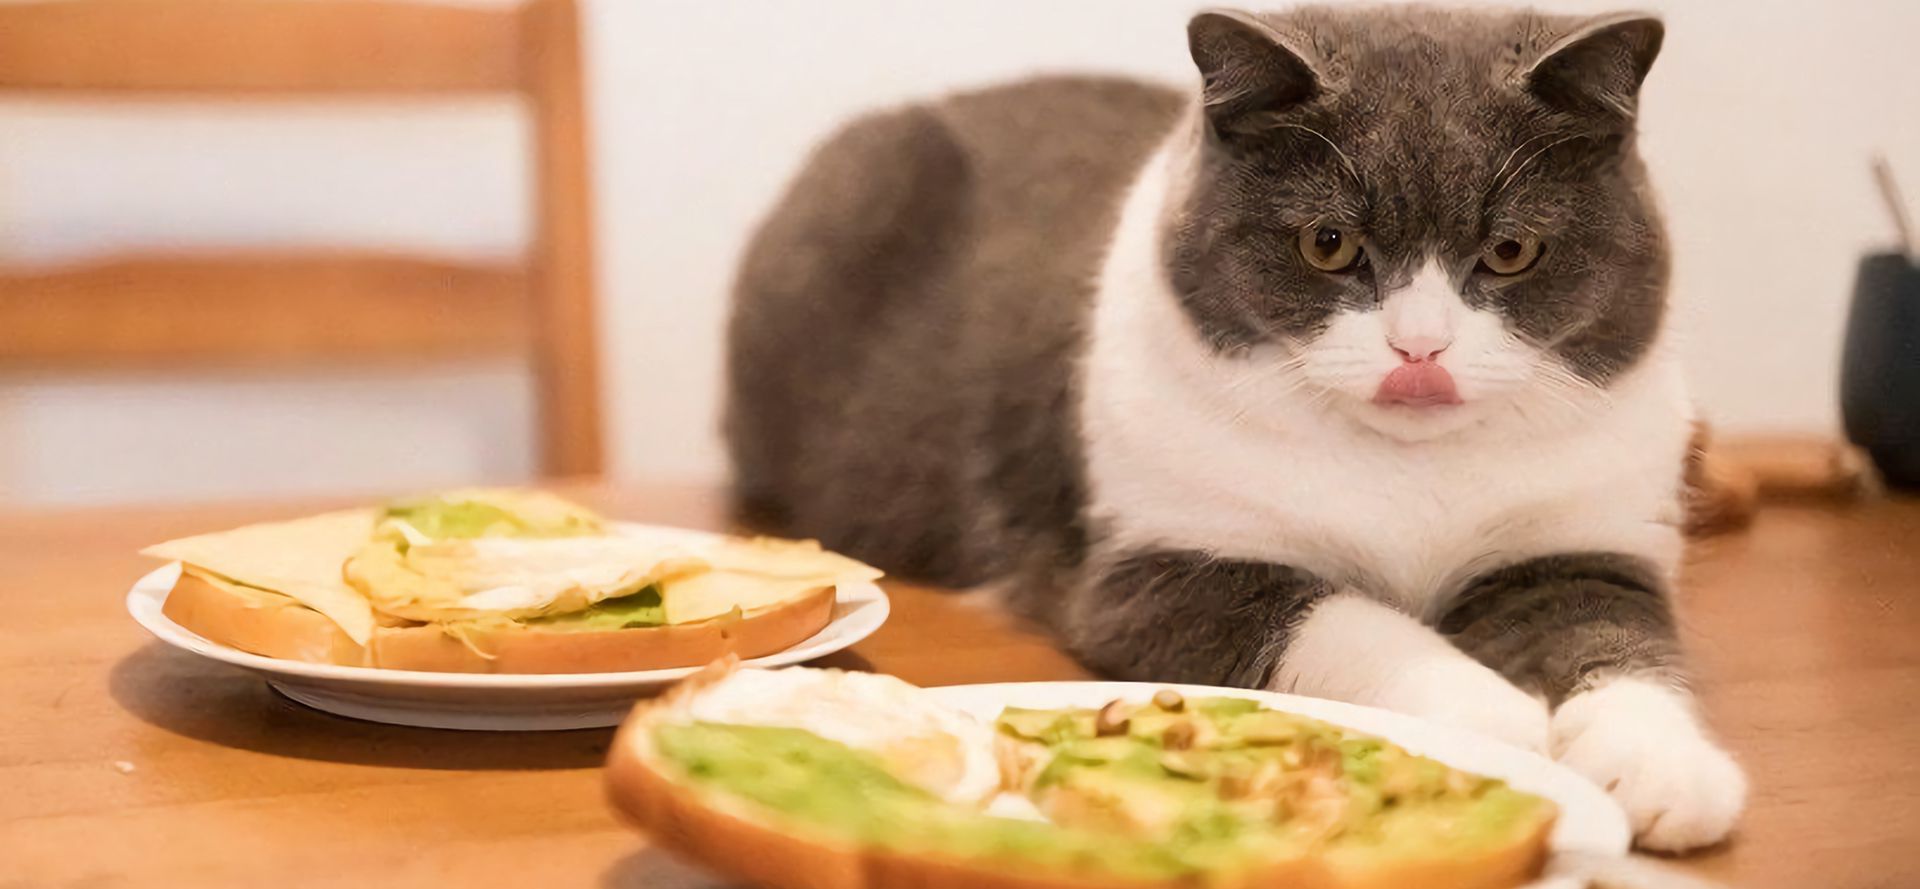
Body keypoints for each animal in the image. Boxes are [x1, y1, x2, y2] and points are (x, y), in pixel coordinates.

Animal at [725, 6, 1751, 856]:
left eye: (1511, 251)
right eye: (1328, 245)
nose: (1419, 348)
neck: (1413, 473)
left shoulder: (1580, 546)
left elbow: (1617, 636)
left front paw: (1664, 768)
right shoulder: (1148, 577)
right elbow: (1344, 618)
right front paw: (1493, 717)